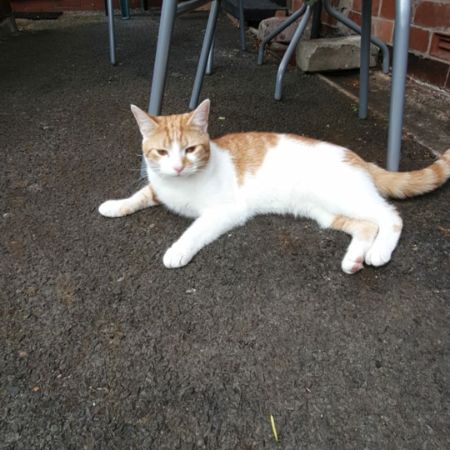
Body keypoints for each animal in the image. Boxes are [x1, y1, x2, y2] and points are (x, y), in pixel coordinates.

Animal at [99, 99, 450, 274]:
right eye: (161, 152)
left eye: (190, 150)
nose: (177, 166)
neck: (182, 184)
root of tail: (358, 157)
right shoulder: (159, 188)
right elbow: (139, 195)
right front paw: (114, 205)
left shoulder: (225, 212)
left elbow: (193, 231)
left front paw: (177, 250)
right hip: (325, 213)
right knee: (366, 226)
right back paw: (353, 261)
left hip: (347, 198)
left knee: (390, 216)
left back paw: (379, 252)